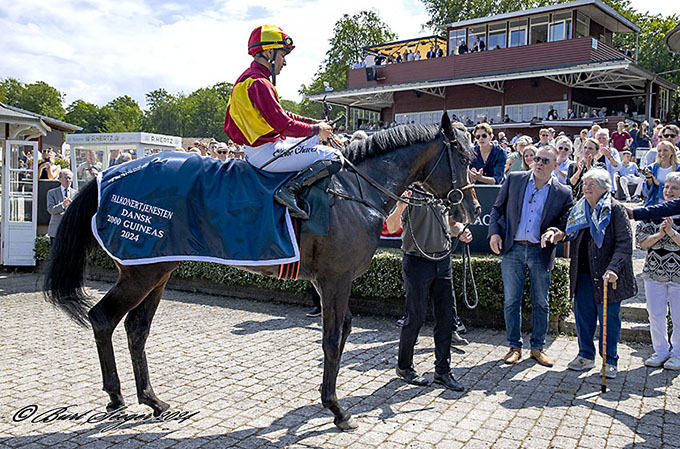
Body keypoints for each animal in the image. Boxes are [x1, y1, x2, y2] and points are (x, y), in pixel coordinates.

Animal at [43, 111, 478, 428]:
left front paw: (329, 402)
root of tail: (108, 174)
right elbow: (331, 340)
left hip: (156, 268)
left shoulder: (333, 283)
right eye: (463, 157)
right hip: (140, 272)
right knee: (103, 318)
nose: (471, 209)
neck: (356, 191)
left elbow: (342, 334)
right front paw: (336, 410)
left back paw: (153, 400)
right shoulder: (334, 280)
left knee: (136, 328)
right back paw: (116, 396)